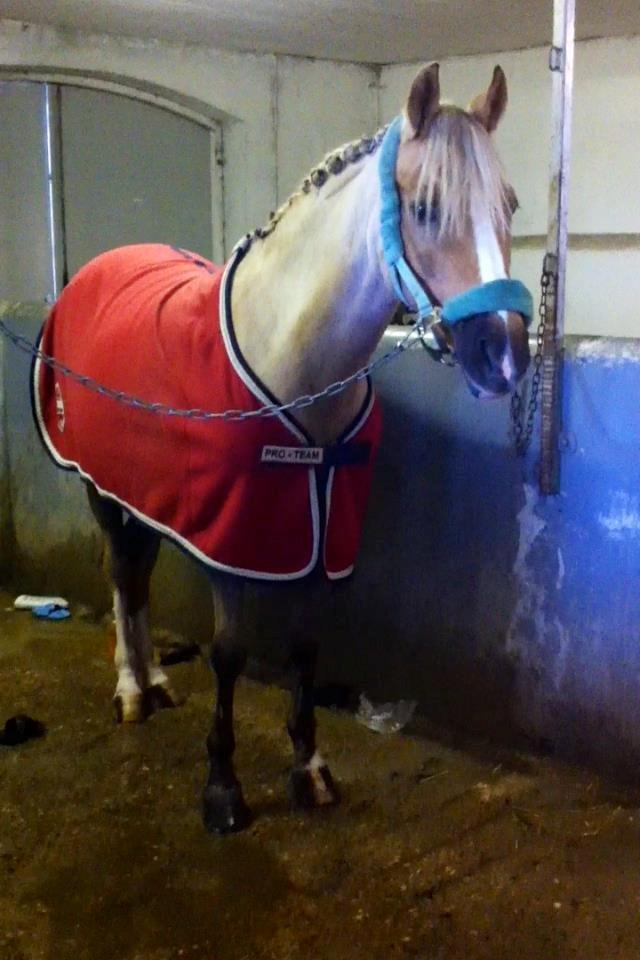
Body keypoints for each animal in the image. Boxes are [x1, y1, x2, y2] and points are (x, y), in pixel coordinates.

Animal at [32, 62, 532, 833]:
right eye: (424, 208)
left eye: (510, 203)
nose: (504, 356)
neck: (297, 362)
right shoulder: (234, 539)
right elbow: (230, 654)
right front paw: (222, 788)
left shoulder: (318, 533)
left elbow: (305, 649)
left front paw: (310, 767)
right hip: (101, 492)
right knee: (122, 577)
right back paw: (130, 691)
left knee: (139, 577)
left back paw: (154, 678)